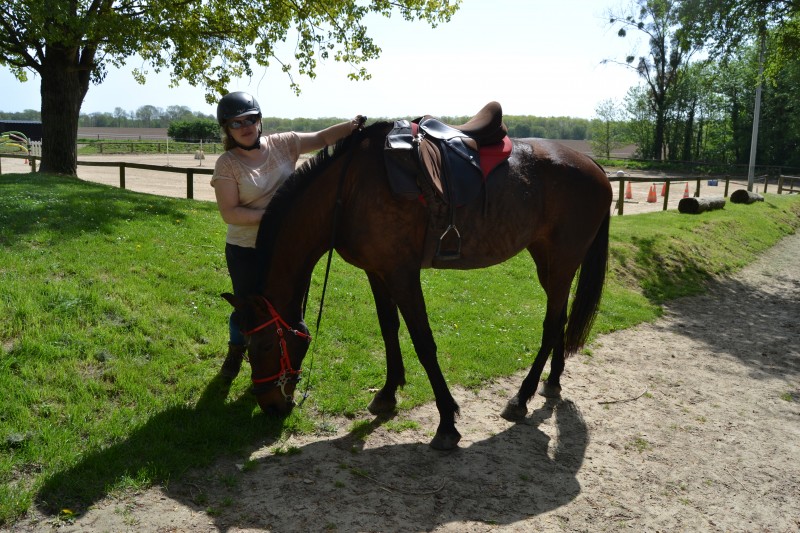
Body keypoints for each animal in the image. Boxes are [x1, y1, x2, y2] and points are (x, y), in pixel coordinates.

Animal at [222, 119, 613, 450]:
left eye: (265, 345)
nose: (270, 405)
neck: (349, 191)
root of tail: (594, 167)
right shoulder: (377, 272)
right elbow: (389, 329)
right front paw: (387, 393)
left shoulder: (402, 273)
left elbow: (423, 342)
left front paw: (447, 423)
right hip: (548, 262)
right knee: (560, 319)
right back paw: (553, 381)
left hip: (561, 262)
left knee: (550, 325)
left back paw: (521, 397)